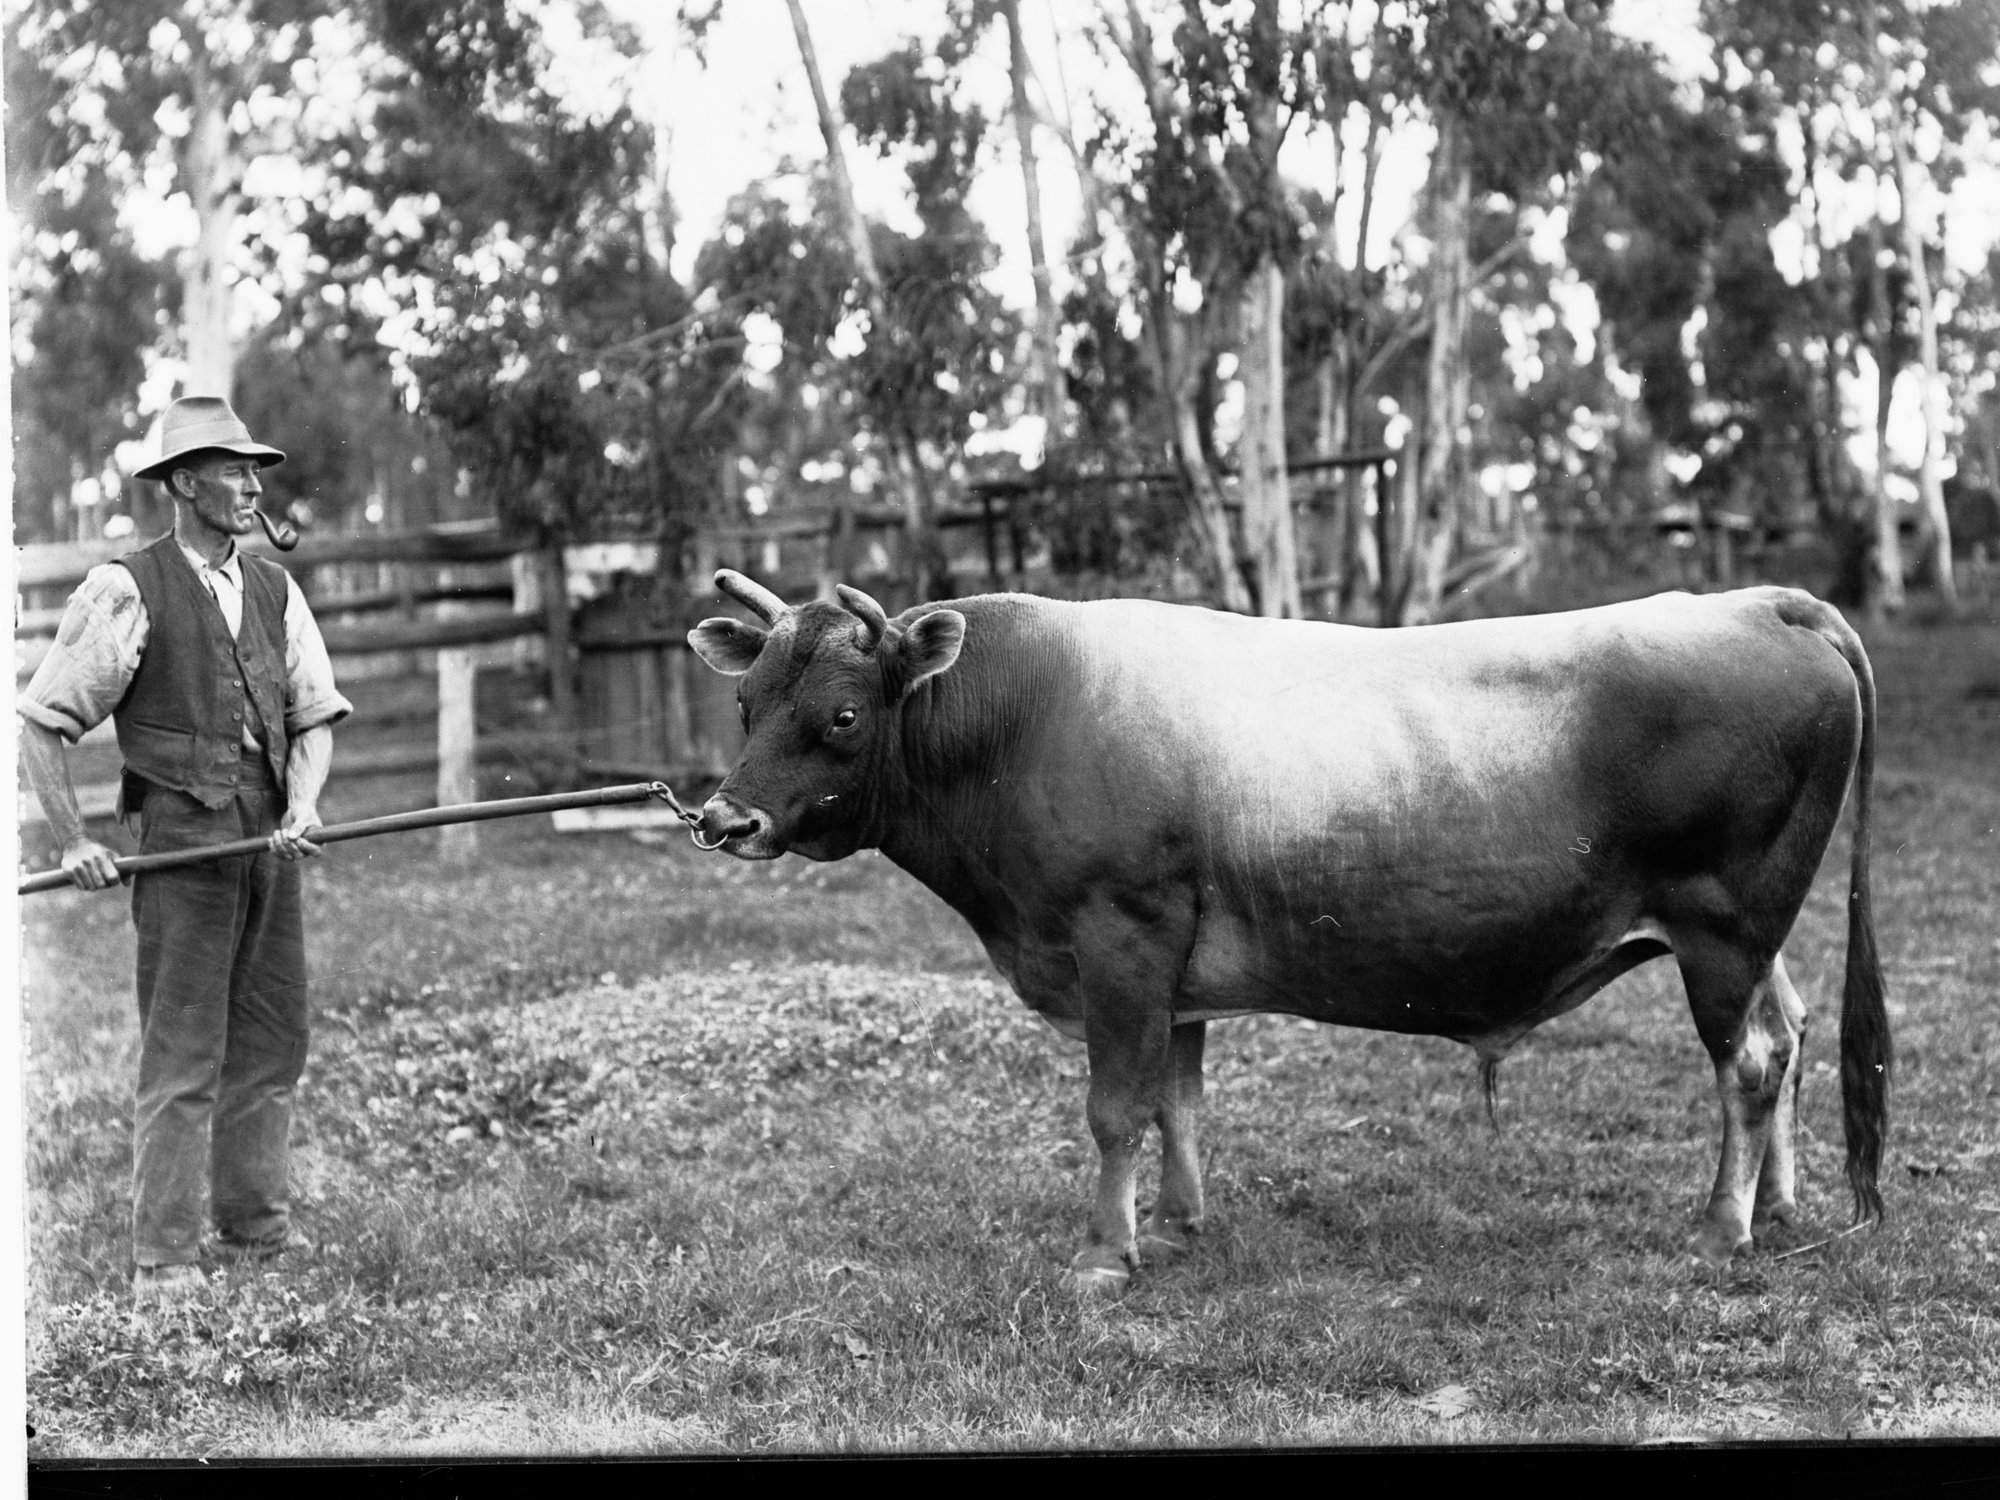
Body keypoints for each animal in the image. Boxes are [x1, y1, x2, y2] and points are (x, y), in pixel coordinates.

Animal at [689, 571, 1888, 1297]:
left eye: (842, 716)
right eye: (746, 705)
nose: (722, 820)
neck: (1021, 720)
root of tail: (1760, 602)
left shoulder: (1119, 936)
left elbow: (1115, 1109)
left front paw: (1105, 1254)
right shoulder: (1170, 966)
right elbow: (1175, 1100)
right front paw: (1179, 1223)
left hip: (1720, 923)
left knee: (1746, 1059)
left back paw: (1722, 1227)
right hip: (1751, 932)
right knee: (1787, 1035)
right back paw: (1779, 1206)